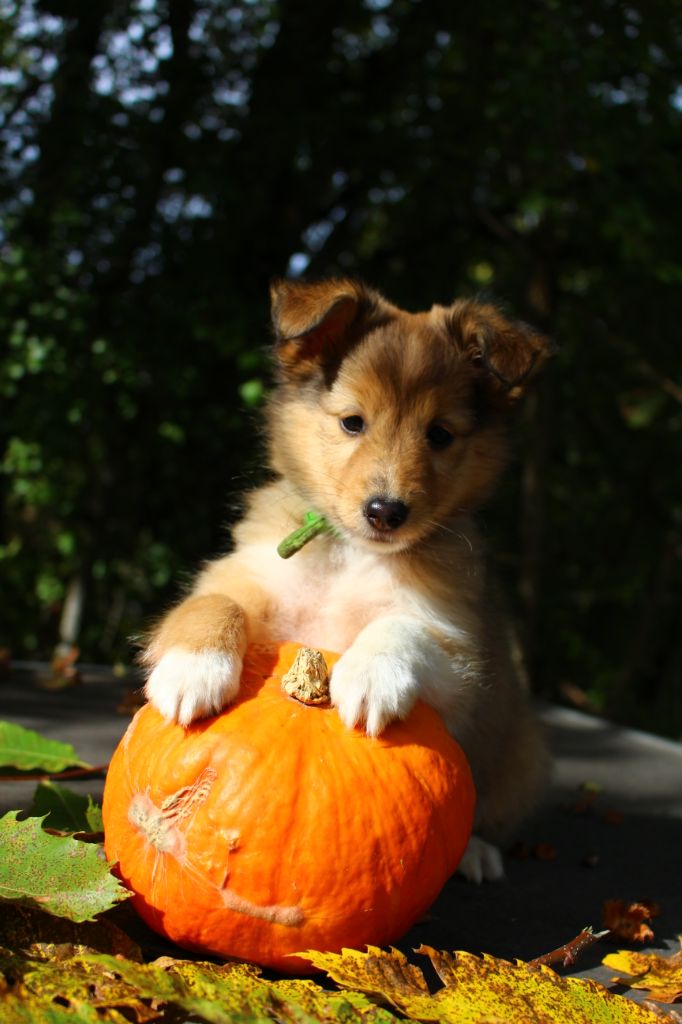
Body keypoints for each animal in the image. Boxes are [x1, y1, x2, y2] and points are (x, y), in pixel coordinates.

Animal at [143, 278, 552, 880]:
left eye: (439, 434)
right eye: (352, 422)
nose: (386, 511)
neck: (352, 556)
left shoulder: (457, 649)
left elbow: (400, 628)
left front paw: (371, 676)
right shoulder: (245, 575)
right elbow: (215, 606)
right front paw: (192, 670)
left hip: (521, 753)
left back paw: (475, 851)